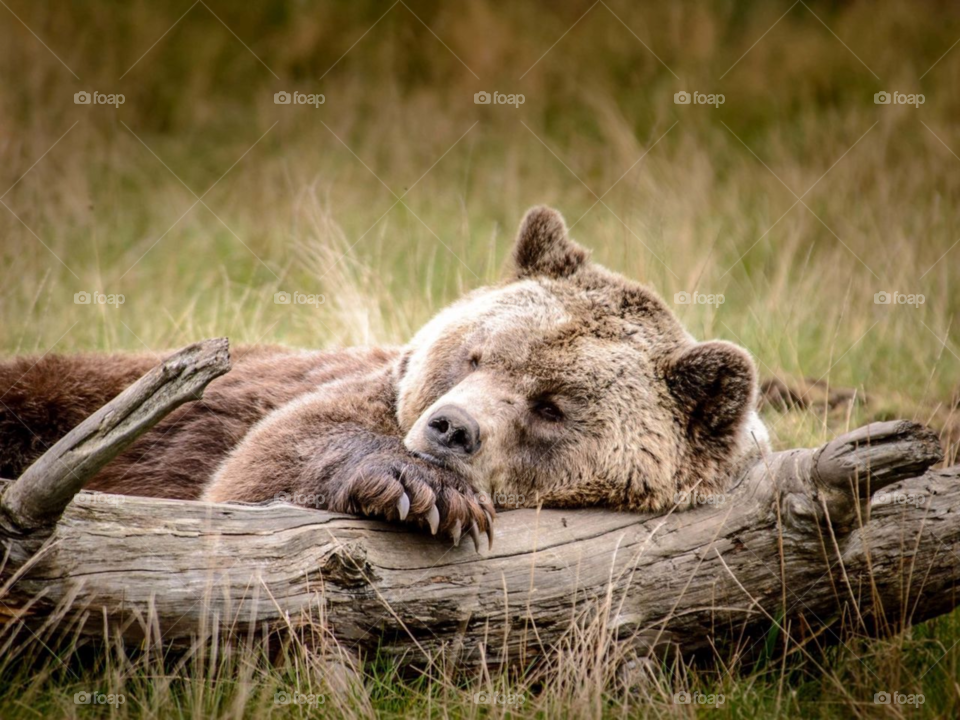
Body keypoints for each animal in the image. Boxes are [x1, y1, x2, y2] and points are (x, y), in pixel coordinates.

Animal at [0, 207, 769, 548]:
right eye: (475, 354)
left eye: (551, 406)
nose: (450, 428)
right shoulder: (336, 396)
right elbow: (264, 461)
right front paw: (421, 489)